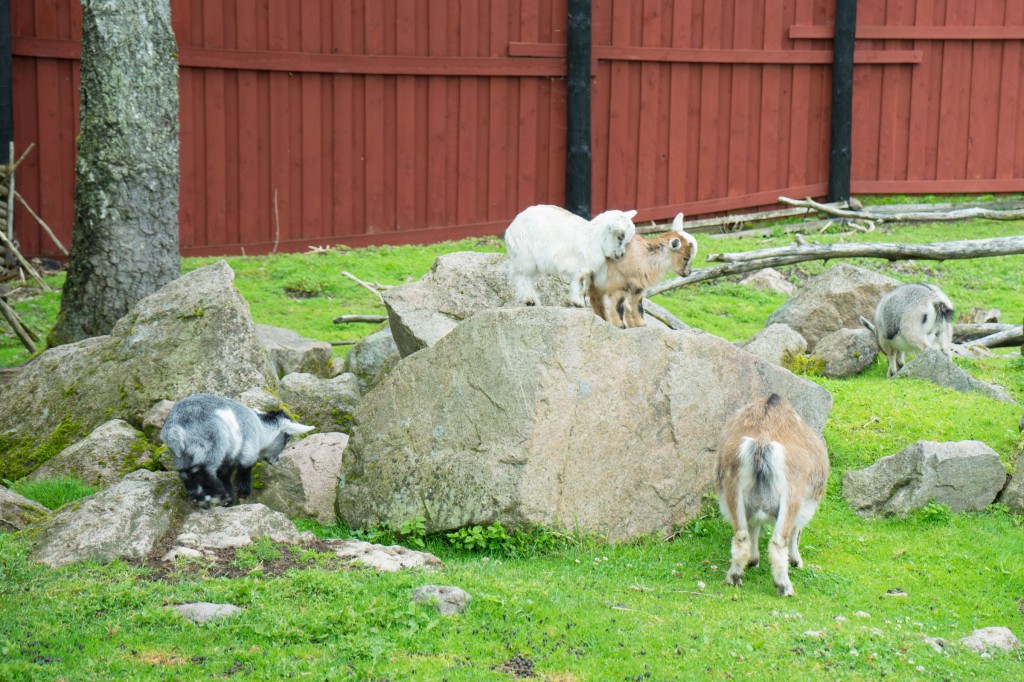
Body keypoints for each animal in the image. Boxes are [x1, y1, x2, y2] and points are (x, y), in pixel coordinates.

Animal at [157, 393, 311, 503]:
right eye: (288, 439)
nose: (276, 460)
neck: (261, 428)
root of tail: (174, 429)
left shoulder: (229, 457)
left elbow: (225, 475)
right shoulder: (246, 451)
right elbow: (243, 470)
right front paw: (242, 494)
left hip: (182, 455)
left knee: (185, 473)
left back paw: (198, 497)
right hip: (212, 444)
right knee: (203, 470)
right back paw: (220, 496)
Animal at [501, 202, 634, 307]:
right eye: (620, 237)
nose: (622, 254)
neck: (592, 237)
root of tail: (511, 227)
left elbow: (581, 282)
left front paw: (579, 302)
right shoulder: (578, 264)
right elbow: (580, 281)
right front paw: (578, 303)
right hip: (525, 253)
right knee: (520, 274)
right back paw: (529, 299)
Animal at [716, 393, 827, 593]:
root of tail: (761, 443)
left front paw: (753, 561)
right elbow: (796, 531)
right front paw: (796, 561)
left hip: (733, 493)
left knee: (741, 536)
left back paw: (735, 577)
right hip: (791, 499)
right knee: (778, 541)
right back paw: (785, 587)